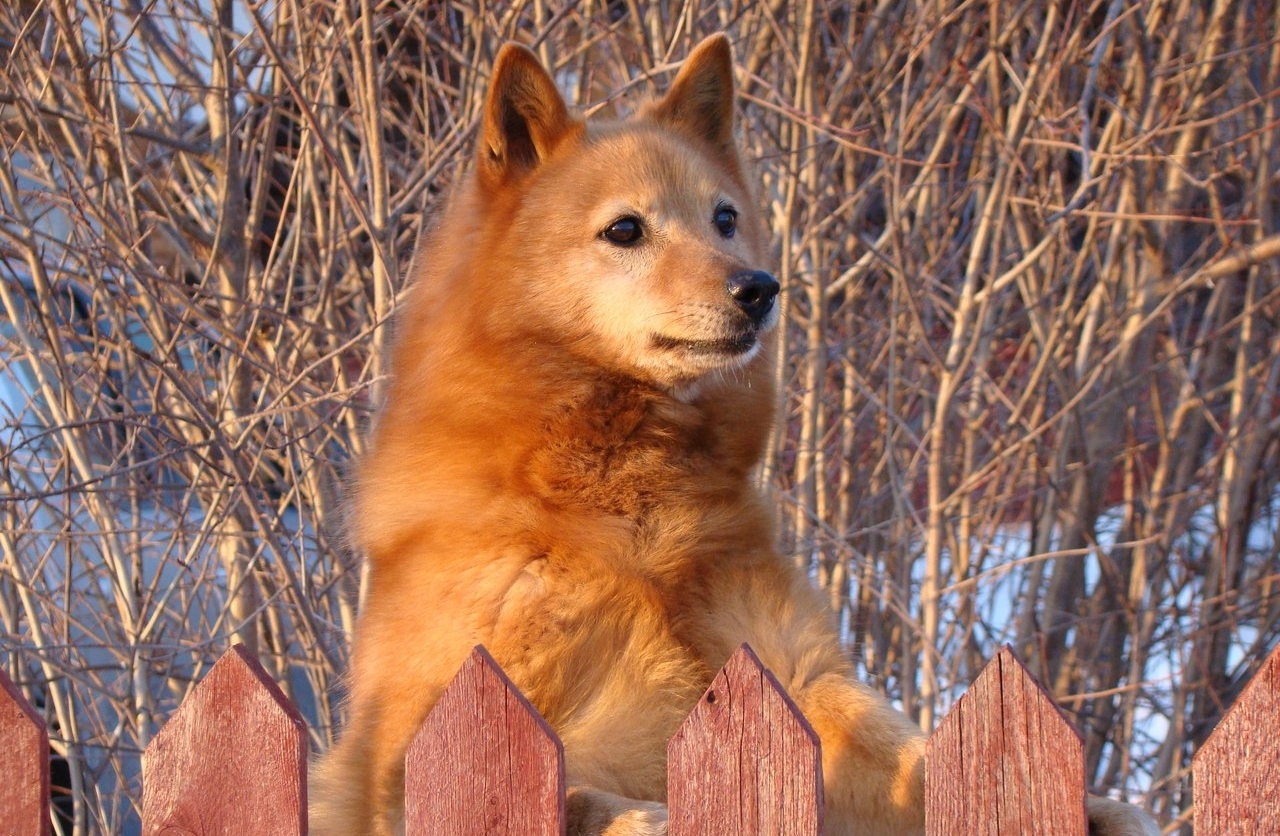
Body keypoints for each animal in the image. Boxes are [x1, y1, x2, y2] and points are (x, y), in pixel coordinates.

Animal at [309, 34, 1162, 834]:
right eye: (625, 229)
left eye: (724, 219)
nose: (760, 289)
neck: (627, 512)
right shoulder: (415, 754)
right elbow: (564, 793)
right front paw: (637, 817)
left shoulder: (799, 681)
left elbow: (918, 758)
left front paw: (1087, 803)